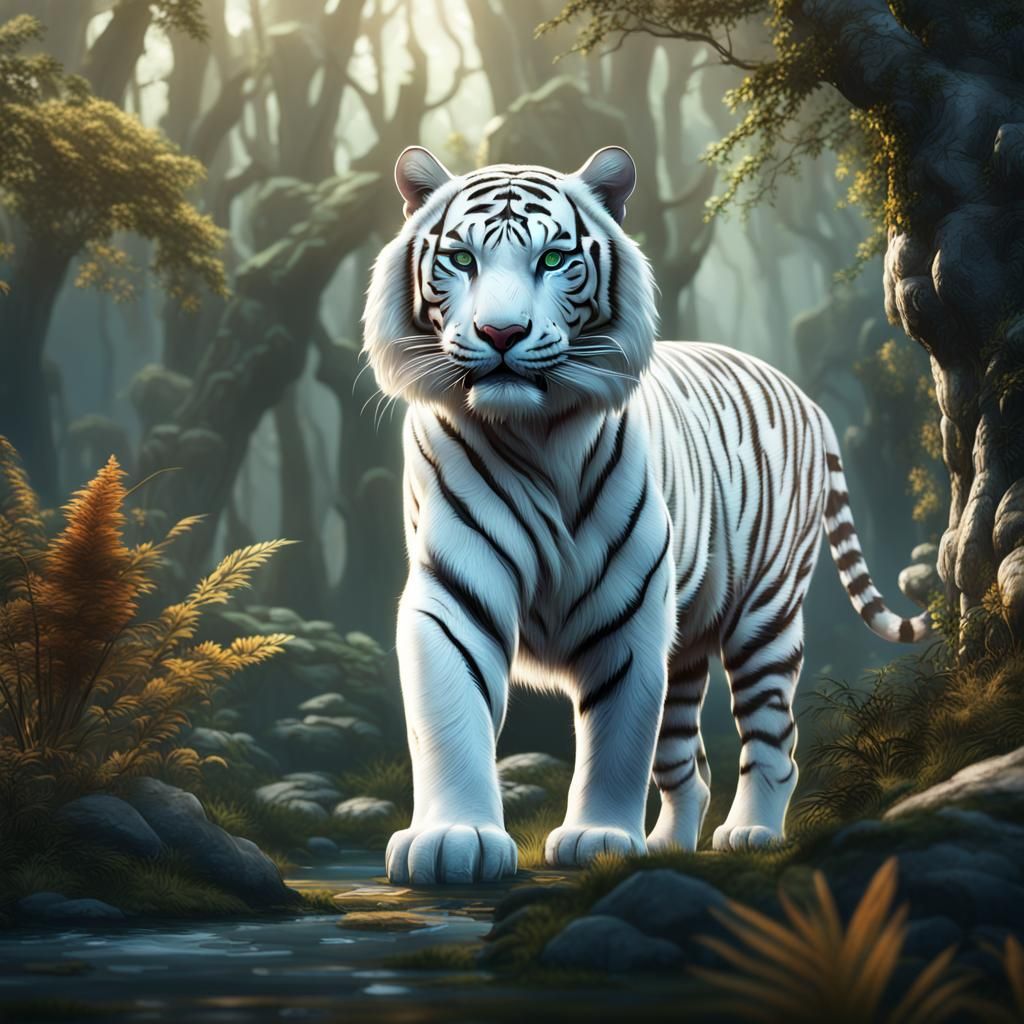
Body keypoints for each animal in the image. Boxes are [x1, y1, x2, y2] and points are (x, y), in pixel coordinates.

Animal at [362, 144, 930, 885]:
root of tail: (801, 392)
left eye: (552, 258)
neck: (531, 431)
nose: (501, 332)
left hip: (766, 616)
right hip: (686, 651)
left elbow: (618, 734)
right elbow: (451, 711)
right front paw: (454, 838)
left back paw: (751, 833)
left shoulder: (628, 607)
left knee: (774, 739)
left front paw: (598, 838)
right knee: (690, 763)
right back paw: (668, 846)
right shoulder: (455, 588)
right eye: (461, 259)